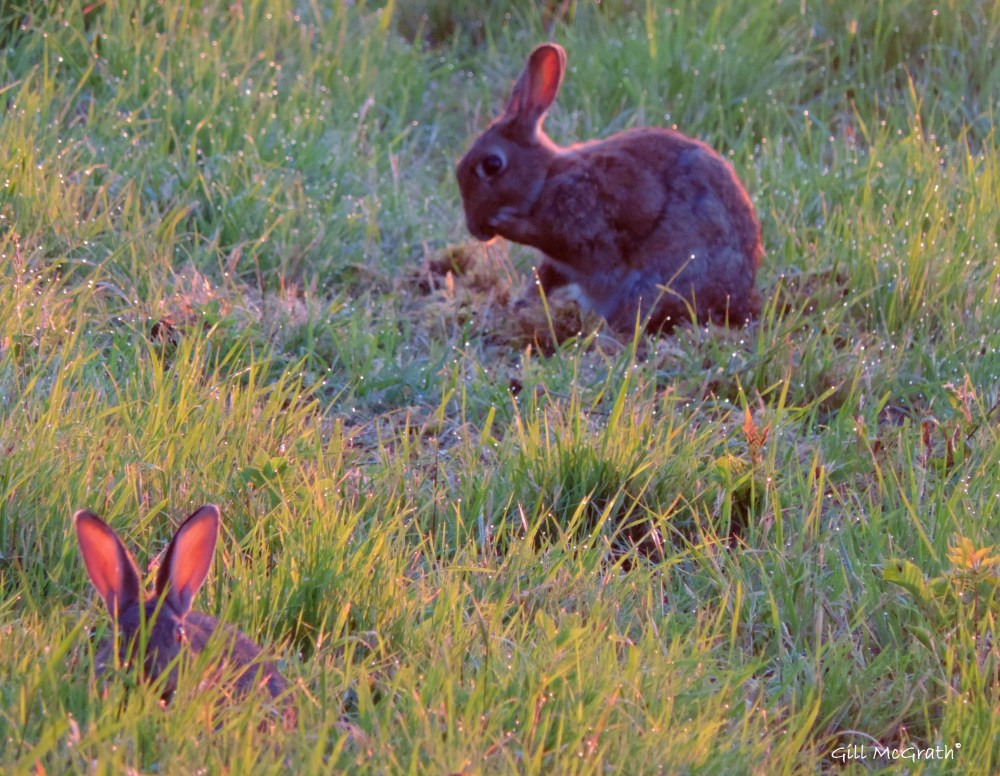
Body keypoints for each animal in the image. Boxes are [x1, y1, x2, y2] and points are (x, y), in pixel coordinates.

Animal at [456, 42, 763, 334]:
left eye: (492, 164)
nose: (474, 229)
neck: (545, 179)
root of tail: (737, 298)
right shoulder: (558, 263)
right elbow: (544, 278)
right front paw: (520, 304)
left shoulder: (584, 227)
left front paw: (506, 223)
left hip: (657, 280)